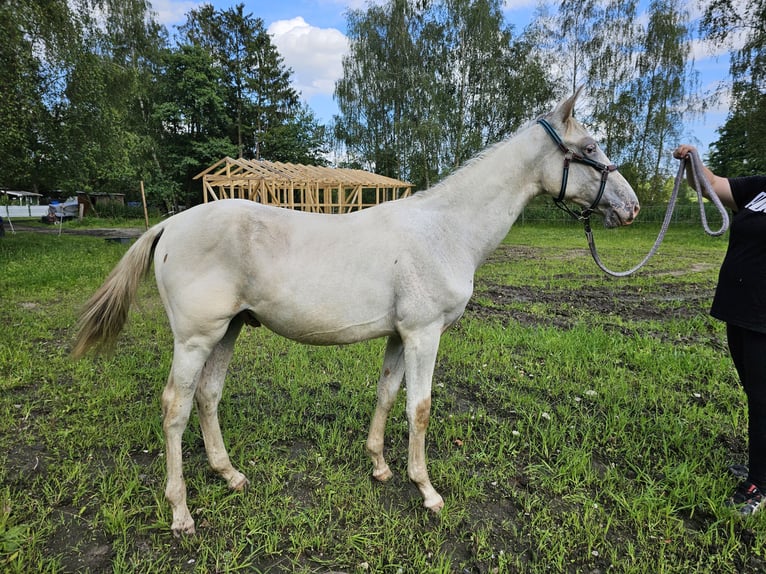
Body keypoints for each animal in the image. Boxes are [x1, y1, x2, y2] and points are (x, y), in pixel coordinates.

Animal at [73, 88, 640, 536]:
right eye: (589, 148)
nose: (631, 207)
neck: (445, 230)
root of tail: (170, 224)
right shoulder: (425, 334)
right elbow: (419, 409)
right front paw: (427, 492)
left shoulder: (399, 335)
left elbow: (387, 395)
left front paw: (379, 467)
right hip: (195, 338)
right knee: (176, 408)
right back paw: (181, 513)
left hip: (229, 330)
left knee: (209, 397)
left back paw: (230, 475)